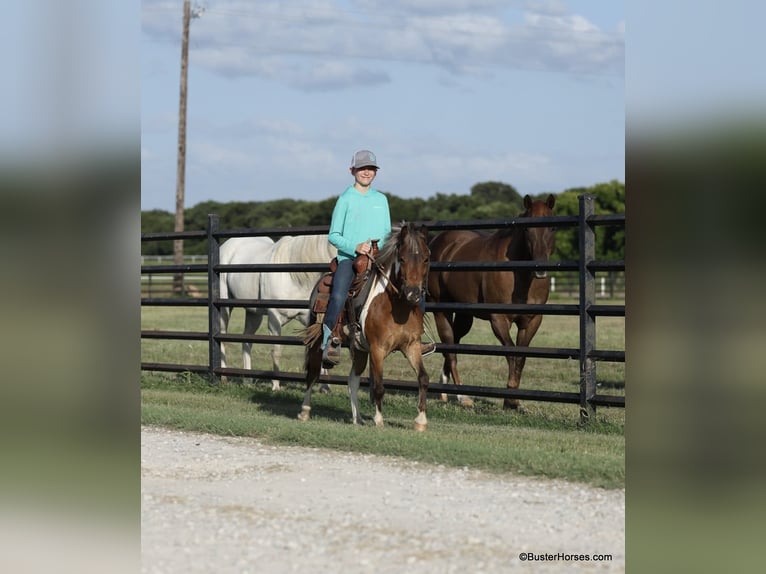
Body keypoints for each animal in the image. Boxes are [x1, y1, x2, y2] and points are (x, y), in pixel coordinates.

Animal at [219, 234, 337, 390]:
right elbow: (276, 351)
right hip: (225, 307)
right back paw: (223, 377)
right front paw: (275, 386)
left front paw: (325, 387)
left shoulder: (308, 319)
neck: (294, 276)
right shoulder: (274, 319)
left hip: (253, 314)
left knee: (247, 342)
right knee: (222, 337)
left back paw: (248, 380)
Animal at [298, 222, 432, 431]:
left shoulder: (412, 346)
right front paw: (379, 420)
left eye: (426, 258)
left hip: (360, 350)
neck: (396, 306)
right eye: (402, 258)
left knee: (352, 380)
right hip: (317, 342)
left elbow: (423, 378)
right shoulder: (378, 349)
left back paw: (357, 418)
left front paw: (421, 421)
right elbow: (378, 385)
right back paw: (304, 411)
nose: (413, 294)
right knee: (312, 373)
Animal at [427, 194, 556, 410]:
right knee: (450, 350)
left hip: (464, 316)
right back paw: (462, 397)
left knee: (453, 344)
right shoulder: (499, 319)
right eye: (527, 229)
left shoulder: (531, 321)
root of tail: (439, 242)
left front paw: (514, 400)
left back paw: (444, 392)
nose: (540, 269)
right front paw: (510, 398)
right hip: (441, 311)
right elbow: (511, 353)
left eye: (553, 228)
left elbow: (521, 357)